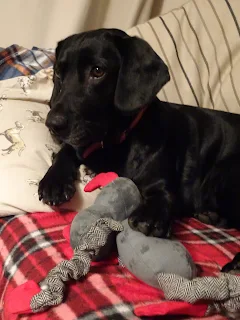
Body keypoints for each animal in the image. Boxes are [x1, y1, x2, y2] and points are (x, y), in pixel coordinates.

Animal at [38, 28, 239, 245]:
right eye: (59, 73)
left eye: (98, 71)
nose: (52, 124)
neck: (112, 143)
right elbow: (64, 152)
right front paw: (54, 181)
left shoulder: (159, 182)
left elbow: (162, 193)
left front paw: (150, 216)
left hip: (221, 174)